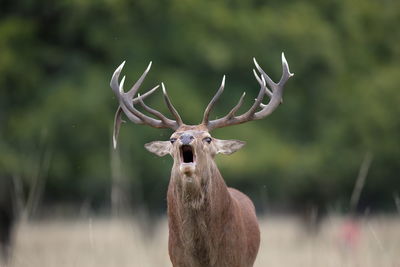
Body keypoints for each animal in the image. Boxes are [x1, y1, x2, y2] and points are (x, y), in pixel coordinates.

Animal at [111, 53, 292, 266]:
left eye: (208, 138)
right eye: (172, 139)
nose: (186, 137)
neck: (203, 254)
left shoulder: (235, 258)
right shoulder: (177, 260)